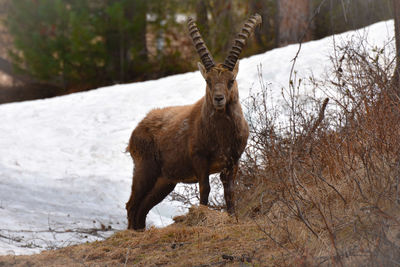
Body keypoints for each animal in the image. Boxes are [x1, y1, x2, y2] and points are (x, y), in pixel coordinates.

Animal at [126, 14, 260, 230]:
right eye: (208, 81)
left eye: (231, 80)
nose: (219, 99)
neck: (221, 134)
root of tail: (137, 130)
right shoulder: (199, 158)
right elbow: (205, 188)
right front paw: (202, 217)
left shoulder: (233, 160)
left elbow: (230, 191)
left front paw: (233, 218)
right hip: (144, 169)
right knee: (132, 204)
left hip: (164, 181)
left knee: (143, 208)